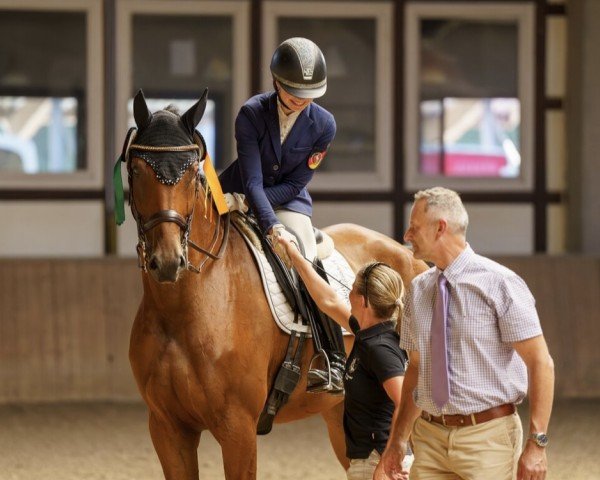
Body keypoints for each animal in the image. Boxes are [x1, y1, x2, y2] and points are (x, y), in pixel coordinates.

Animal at [123, 91, 426, 480]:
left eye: (192, 175)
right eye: (136, 170)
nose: (167, 261)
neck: (182, 310)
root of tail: (410, 258)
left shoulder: (237, 428)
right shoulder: (167, 428)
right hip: (340, 415)